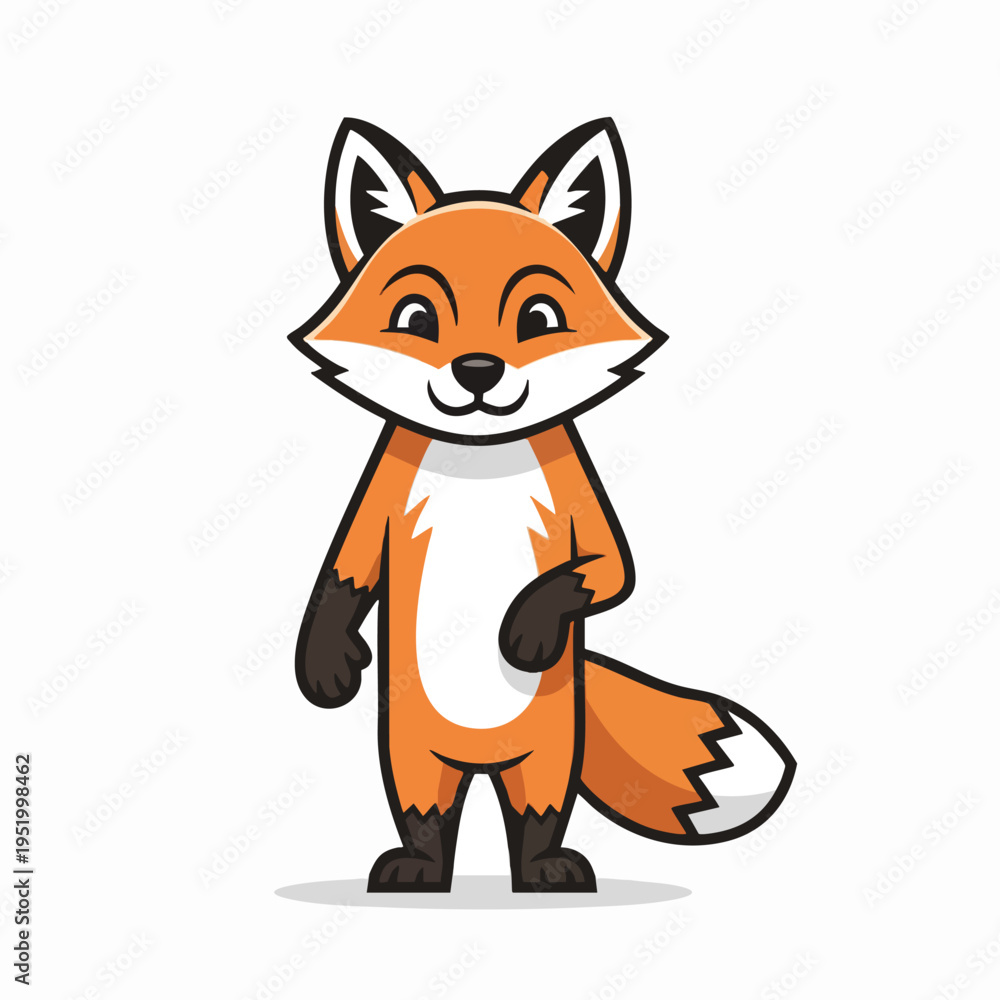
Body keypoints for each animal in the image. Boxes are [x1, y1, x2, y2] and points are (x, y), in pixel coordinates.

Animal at [287, 117, 795, 892]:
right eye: (415, 316)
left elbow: (602, 573)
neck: (479, 457)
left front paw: (524, 632)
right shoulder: (380, 495)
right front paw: (327, 665)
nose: (477, 370)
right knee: (426, 812)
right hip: (412, 753)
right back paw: (418, 869)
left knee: (538, 812)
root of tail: (480, 760)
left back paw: (547, 870)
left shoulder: (580, 498)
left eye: (538, 316)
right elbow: (346, 574)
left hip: (549, 753)